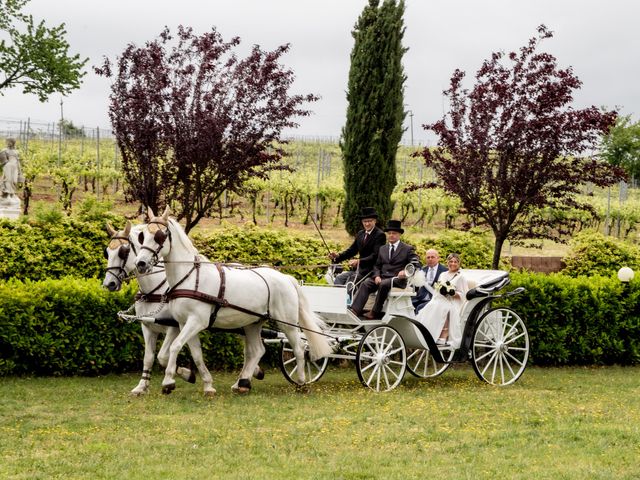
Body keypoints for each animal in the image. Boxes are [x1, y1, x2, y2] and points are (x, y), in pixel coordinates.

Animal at [104, 221, 216, 398]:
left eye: (124, 252)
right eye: (107, 252)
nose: (109, 283)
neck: (155, 290)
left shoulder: (173, 327)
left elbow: (163, 356)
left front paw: (184, 375)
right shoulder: (147, 326)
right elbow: (149, 357)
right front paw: (142, 386)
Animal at [136, 206, 336, 394]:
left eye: (160, 236)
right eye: (142, 236)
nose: (141, 263)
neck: (190, 277)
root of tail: (286, 278)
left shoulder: (196, 321)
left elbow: (175, 346)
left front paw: (168, 382)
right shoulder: (184, 323)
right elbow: (196, 354)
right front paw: (205, 384)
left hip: (287, 323)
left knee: (299, 348)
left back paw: (301, 382)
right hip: (253, 323)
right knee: (257, 350)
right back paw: (243, 382)